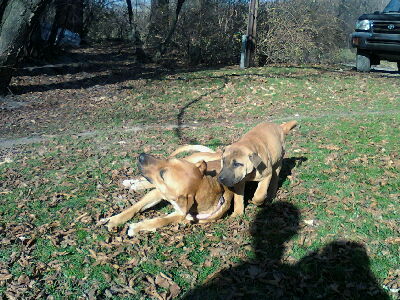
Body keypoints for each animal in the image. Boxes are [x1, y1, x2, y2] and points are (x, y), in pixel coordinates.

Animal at [101, 146, 231, 237]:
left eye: (162, 175)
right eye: (171, 160)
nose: (141, 155)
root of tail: (217, 153)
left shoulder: (181, 214)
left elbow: (162, 220)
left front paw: (138, 227)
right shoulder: (157, 192)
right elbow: (133, 208)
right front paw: (112, 220)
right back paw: (133, 182)